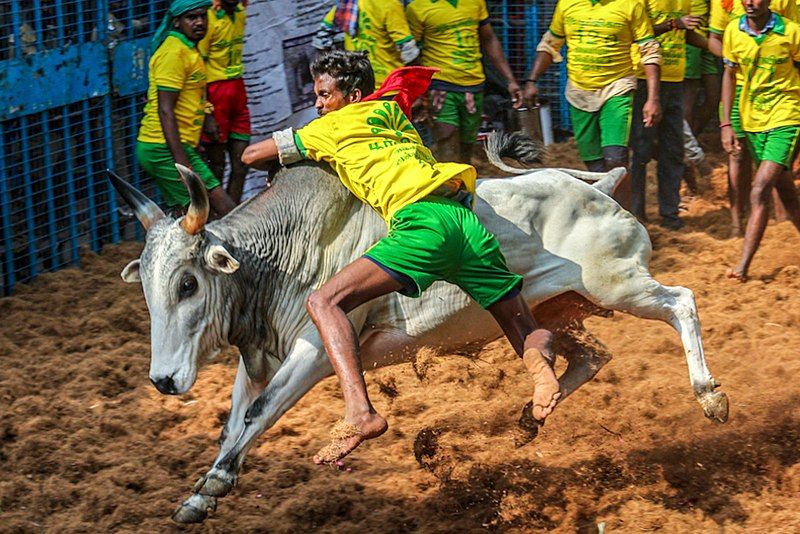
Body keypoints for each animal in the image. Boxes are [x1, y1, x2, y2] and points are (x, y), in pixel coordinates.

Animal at [109, 136, 728, 524]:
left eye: (188, 283)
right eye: (149, 288)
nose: (163, 380)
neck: (275, 258)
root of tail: (600, 186)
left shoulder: (313, 352)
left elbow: (258, 416)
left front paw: (215, 485)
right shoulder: (258, 360)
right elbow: (232, 424)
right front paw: (201, 494)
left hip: (618, 285)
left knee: (683, 302)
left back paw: (710, 396)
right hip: (559, 306)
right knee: (585, 357)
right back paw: (533, 411)